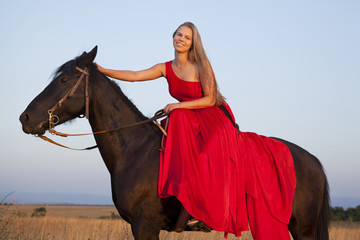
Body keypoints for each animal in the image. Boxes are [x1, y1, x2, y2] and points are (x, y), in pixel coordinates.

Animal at [19, 46, 330, 239]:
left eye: (63, 80)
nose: (25, 118)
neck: (135, 151)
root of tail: (312, 160)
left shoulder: (145, 227)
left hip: (301, 229)